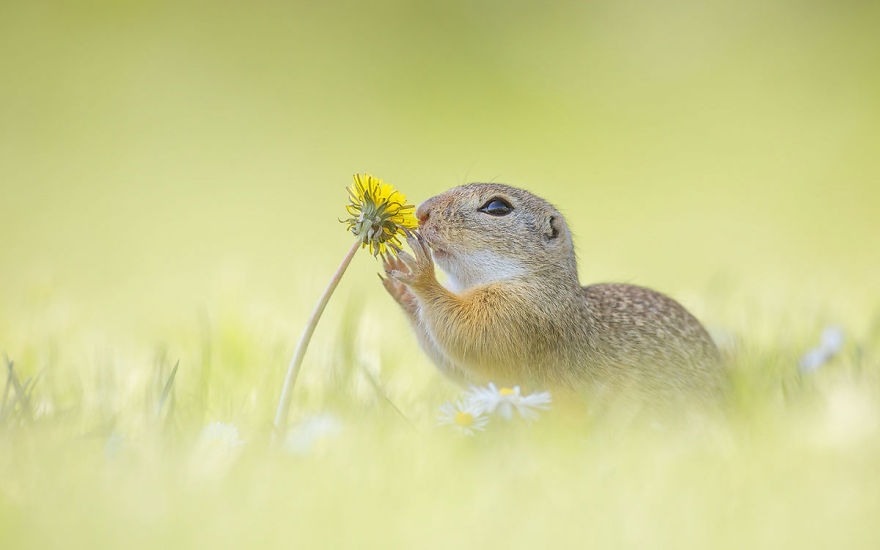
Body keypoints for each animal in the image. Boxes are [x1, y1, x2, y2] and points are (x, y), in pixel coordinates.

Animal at [384, 184, 720, 402]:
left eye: (497, 207)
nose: (422, 211)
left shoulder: (519, 315)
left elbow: (470, 335)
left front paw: (420, 274)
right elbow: (460, 367)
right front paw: (402, 289)